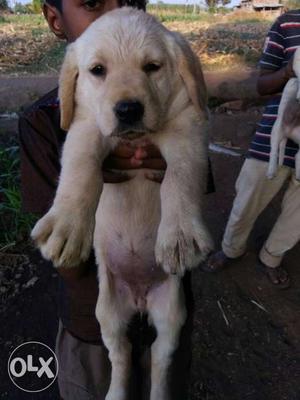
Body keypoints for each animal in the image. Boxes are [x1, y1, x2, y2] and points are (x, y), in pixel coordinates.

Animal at [31, 7, 212, 400]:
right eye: (98, 70)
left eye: (152, 67)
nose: (128, 109)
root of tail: (140, 298)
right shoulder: (85, 125)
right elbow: (81, 167)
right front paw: (67, 227)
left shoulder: (186, 127)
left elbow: (180, 176)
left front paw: (180, 236)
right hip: (107, 312)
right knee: (122, 354)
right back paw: (115, 392)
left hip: (173, 313)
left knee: (159, 357)